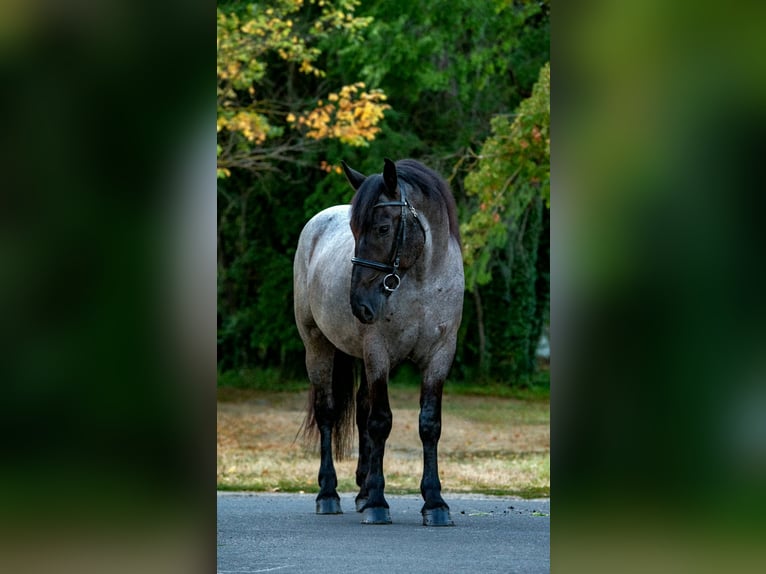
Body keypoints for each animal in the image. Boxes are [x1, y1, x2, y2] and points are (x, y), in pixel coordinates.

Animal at [293, 158, 464, 526]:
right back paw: (328, 494)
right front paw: (377, 502)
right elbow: (381, 421)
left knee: (360, 411)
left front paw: (435, 503)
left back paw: (361, 490)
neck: (422, 282)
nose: (359, 305)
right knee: (327, 413)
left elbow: (429, 424)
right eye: (354, 230)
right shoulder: (378, 355)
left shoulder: (440, 356)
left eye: (383, 228)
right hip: (317, 346)